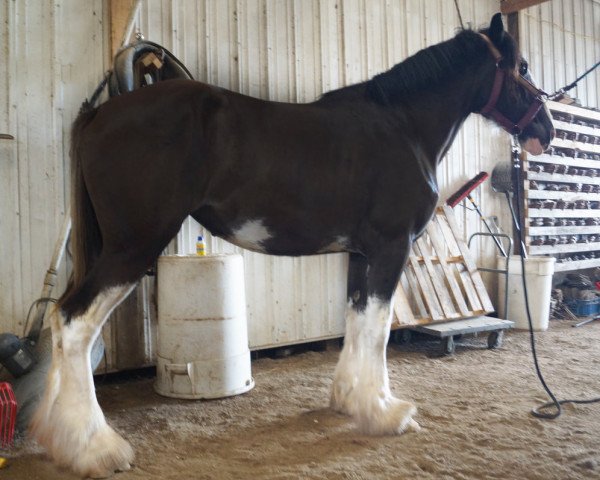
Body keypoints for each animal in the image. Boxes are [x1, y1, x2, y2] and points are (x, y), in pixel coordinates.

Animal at [28, 13, 552, 478]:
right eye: (524, 68)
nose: (545, 132)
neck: (402, 126)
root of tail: (100, 112)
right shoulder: (391, 248)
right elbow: (379, 328)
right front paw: (386, 412)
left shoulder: (361, 254)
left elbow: (357, 320)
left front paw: (350, 401)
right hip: (132, 248)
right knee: (73, 323)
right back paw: (96, 449)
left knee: (61, 320)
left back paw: (60, 438)